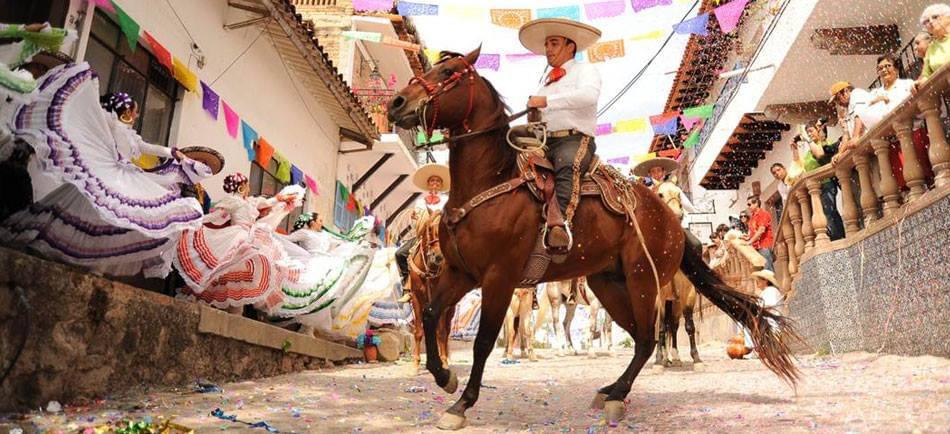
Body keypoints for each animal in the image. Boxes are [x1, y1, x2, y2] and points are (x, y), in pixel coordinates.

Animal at [408, 212, 456, 372]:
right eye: (429, 228)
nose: (438, 256)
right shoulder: (416, 299)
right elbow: (418, 331)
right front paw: (415, 364)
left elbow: (441, 333)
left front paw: (444, 362)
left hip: (451, 309)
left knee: (446, 331)